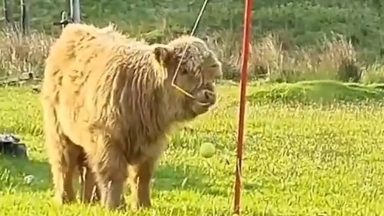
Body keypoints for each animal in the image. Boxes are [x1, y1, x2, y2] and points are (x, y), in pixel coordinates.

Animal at [40, 22, 222, 210]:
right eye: (184, 70)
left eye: (211, 73)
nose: (208, 94)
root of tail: (73, 28)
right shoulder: (107, 139)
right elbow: (113, 173)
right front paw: (113, 206)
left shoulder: (151, 145)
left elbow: (142, 176)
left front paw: (143, 205)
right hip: (59, 131)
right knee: (64, 166)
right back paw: (66, 199)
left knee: (88, 169)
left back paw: (91, 200)